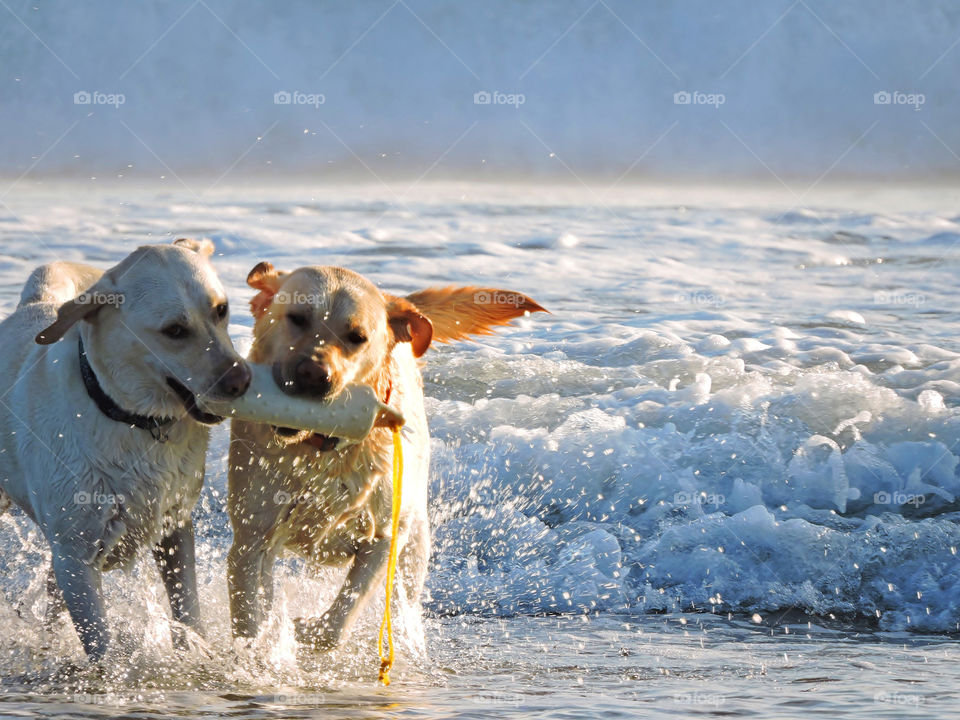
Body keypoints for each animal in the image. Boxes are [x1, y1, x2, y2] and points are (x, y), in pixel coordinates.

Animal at [0, 239, 251, 660]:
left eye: (221, 309)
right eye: (175, 330)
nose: (242, 380)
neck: (135, 421)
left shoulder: (175, 526)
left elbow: (187, 607)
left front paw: (194, 650)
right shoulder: (75, 556)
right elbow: (99, 642)